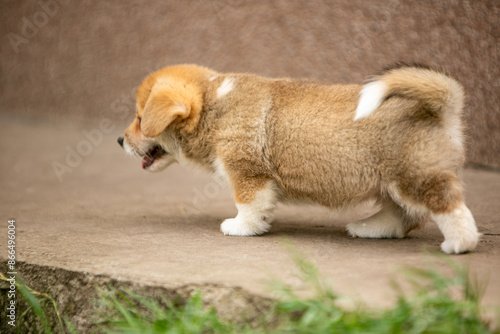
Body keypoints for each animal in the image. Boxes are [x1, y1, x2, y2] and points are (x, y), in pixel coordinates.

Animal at [118, 64, 480, 253]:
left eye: (139, 119)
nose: (120, 140)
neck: (212, 105)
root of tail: (442, 108)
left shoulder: (247, 174)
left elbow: (248, 206)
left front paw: (240, 228)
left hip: (414, 177)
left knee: (448, 208)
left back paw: (459, 244)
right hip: (389, 183)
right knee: (403, 215)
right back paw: (369, 228)